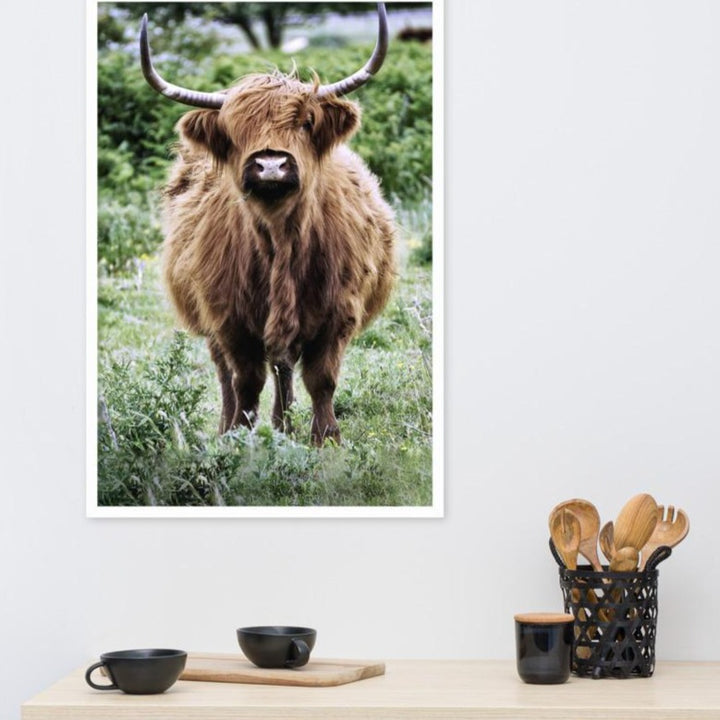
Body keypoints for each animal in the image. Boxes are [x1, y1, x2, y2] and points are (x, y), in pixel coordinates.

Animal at [139, 4, 397, 446]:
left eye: (306, 122)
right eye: (234, 130)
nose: (271, 164)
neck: (281, 240)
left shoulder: (339, 313)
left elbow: (321, 378)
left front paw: (325, 439)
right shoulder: (228, 318)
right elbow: (245, 380)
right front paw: (239, 438)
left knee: (283, 364)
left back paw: (283, 424)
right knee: (230, 373)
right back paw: (237, 426)